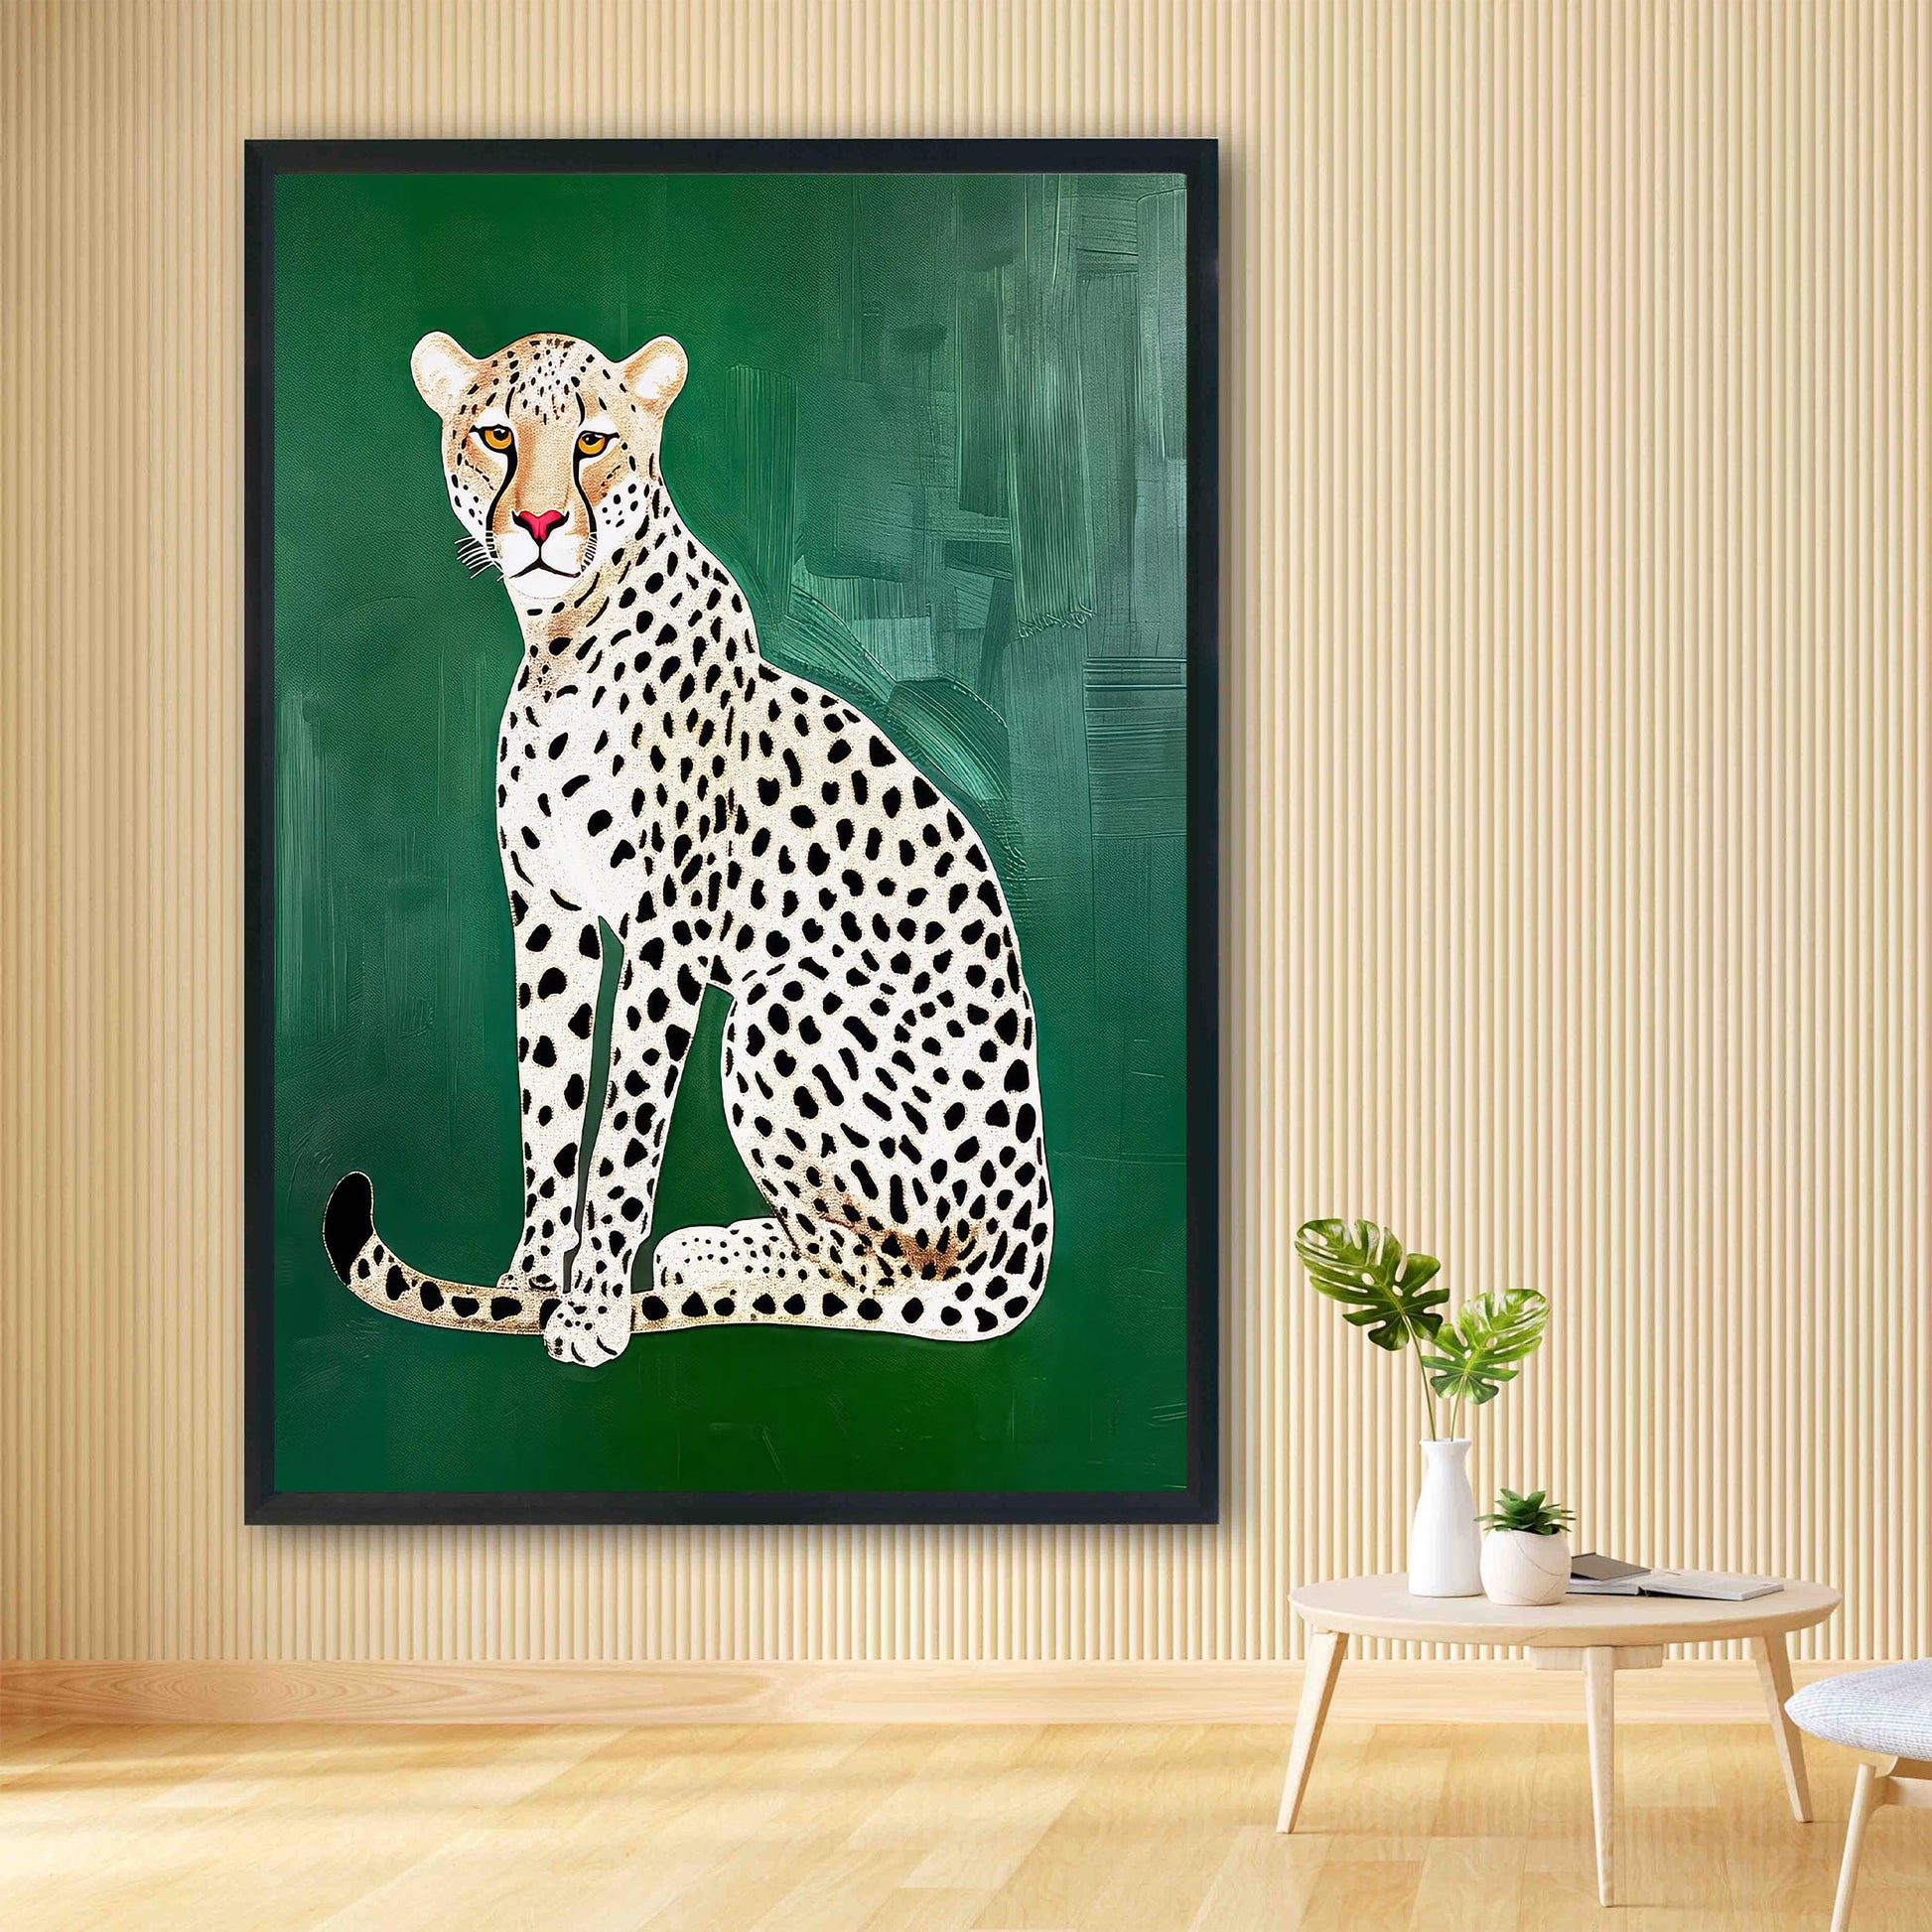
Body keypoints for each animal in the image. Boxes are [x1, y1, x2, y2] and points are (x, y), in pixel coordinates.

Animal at [319, 329, 1054, 1367]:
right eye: (499, 435)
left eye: (592, 441)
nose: (539, 522)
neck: (561, 641)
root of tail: (1032, 1232)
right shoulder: (550, 918)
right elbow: (550, 1105)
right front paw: (532, 1281)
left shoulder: (665, 934)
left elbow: (624, 1132)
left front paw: (590, 1311)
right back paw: (709, 1251)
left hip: (783, 1004)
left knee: (881, 1272)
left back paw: (712, 1266)